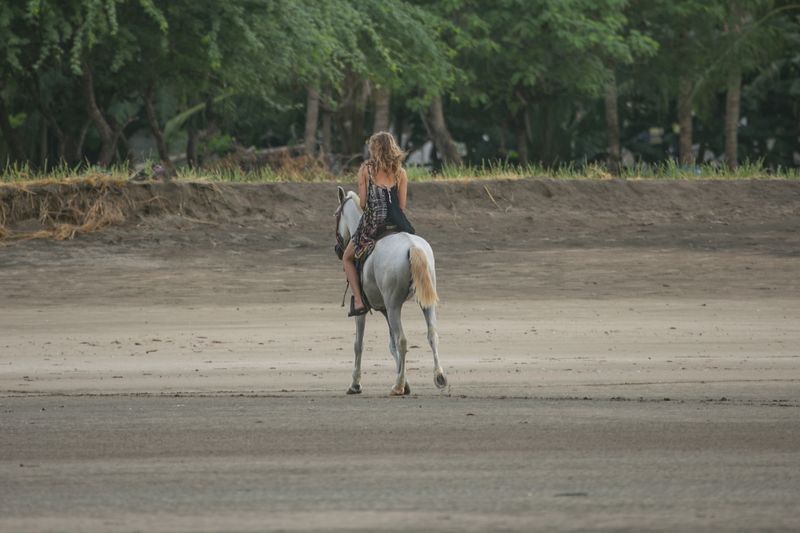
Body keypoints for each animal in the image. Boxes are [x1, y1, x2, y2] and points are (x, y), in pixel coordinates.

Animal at [336, 187, 450, 394]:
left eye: (336, 215)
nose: (338, 248)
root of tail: (412, 247)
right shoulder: (384, 310)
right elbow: (391, 345)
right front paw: (405, 380)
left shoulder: (363, 311)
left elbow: (359, 344)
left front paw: (355, 383)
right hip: (423, 303)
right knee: (432, 335)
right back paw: (438, 377)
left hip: (394, 305)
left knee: (402, 340)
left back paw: (397, 386)